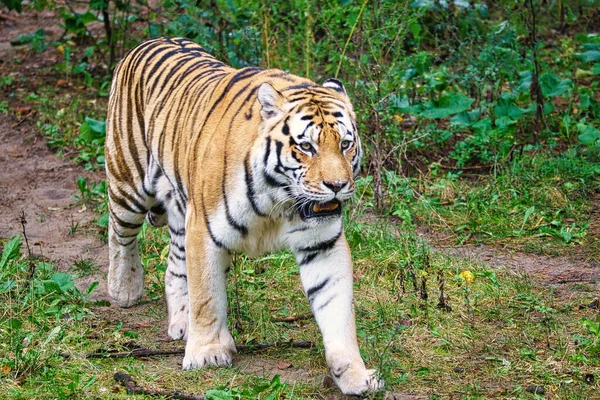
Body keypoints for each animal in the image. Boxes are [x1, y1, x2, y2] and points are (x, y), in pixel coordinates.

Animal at [105, 37, 382, 394]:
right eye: (306, 147)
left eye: (346, 144)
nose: (337, 186)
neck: (279, 199)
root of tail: (150, 40)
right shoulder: (204, 231)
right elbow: (207, 298)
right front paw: (207, 353)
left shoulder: (322, 244)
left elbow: (337, 307)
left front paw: (354, 374)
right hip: (128, 183)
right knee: (119, 234)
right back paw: (124, 289)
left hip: (180, 210)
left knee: (175, 264)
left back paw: (181, 321)